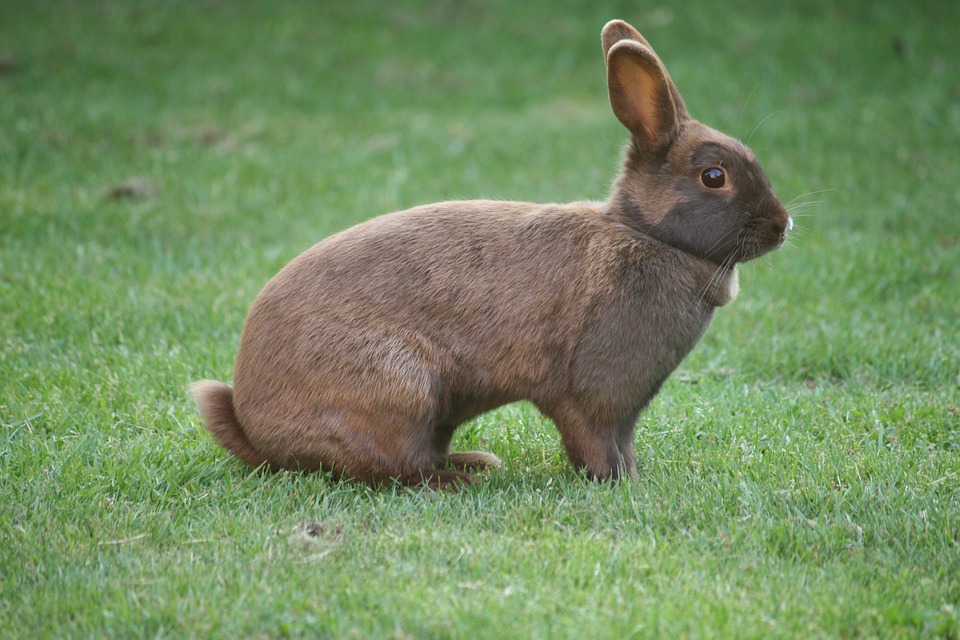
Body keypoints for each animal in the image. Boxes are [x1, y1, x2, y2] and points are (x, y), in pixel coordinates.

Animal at [191, 20, 792, 490]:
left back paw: (474, 463)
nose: (783, 226)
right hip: (404, 391)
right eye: (713, 177)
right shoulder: (592, 395)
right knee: (391, 469)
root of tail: (254, 428)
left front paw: (634, 478)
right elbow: (594, 441)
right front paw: (619, 485)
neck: (647, 235)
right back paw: (460, 480)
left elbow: (622, 443)